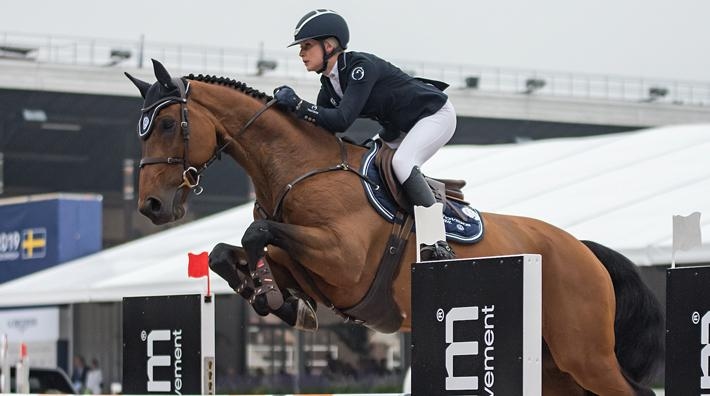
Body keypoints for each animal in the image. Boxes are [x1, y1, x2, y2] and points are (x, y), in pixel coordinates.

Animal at [125, 59, 664, 396]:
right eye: (142, 130)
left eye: (168, 125)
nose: (151, 205)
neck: (300, 170)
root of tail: (584, 250)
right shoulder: (308, 268)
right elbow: (229, 251)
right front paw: (276, 300)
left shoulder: (342, 260)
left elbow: (254, 237)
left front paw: (270, 297)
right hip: (556, 367)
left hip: (585, 353)